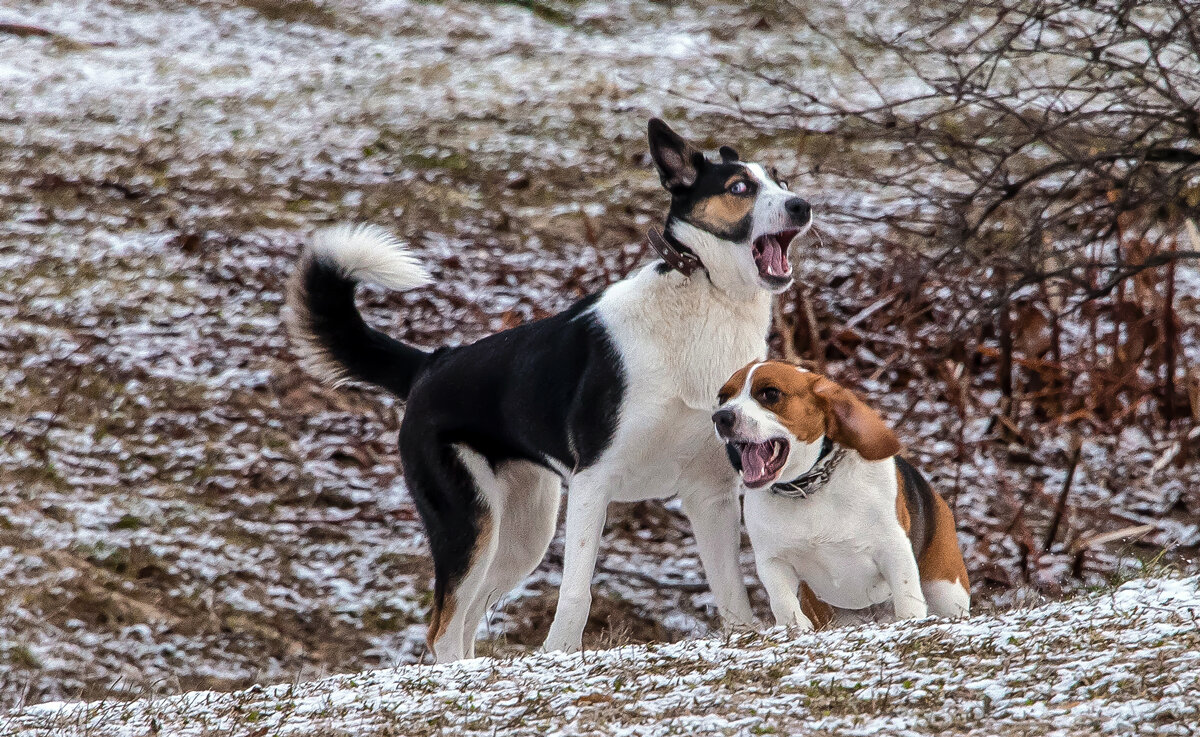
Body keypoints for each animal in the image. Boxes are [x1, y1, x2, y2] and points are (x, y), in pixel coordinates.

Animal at [288, 118, 816, 662]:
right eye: (740, 187)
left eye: (779, 180)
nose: (802, 205)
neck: (707, 296)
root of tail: (431, 364)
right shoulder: (592, 483)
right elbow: (577, 591)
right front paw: (561, 650)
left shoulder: (710, 494)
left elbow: (732, 592)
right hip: (470, 525)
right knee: (444, 627)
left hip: (523, 532)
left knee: (469, 617)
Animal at [710, 360, 964, 633]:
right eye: (722, 397)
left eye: (770, 393)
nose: (721, 417)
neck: (809, 489)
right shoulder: (772, 560)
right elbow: (783, 601)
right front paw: (795, 626)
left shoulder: (895, 550)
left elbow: (907, 597)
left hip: (946, 588)